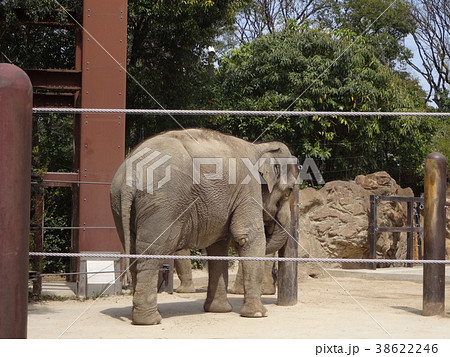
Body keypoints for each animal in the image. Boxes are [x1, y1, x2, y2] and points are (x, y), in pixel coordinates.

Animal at [110, 126, 298, 324]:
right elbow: (248, 236)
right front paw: (258, 314)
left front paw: (219, 310)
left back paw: (139, 315)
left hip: (119, 204)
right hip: (163, 204)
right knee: (152, 251)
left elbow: (218, 247)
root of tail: (130, 177)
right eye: (288, 192)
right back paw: (150, 320)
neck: (261, 147)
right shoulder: (248, 189)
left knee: (132, 248)